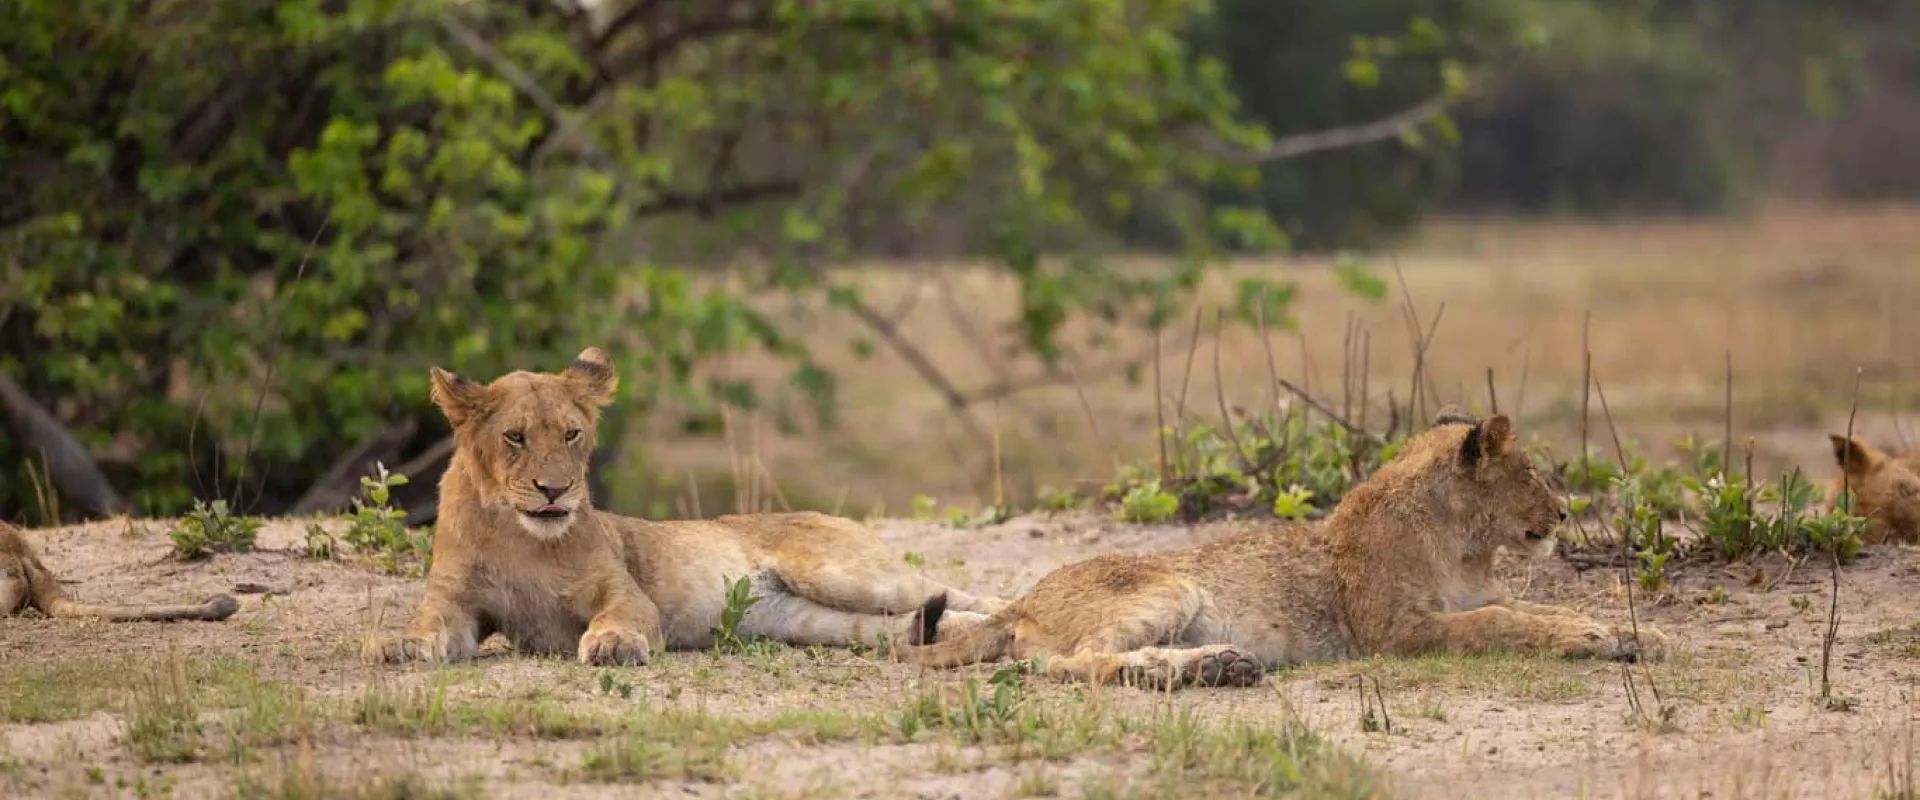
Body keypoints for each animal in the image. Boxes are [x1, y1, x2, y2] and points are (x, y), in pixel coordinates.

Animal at [363, 347, 1004, 666]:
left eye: (571, 434)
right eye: (515, 437)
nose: (555, 491)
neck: (519, 536)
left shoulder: (621, 590)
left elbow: (622, 615)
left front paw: (614, 645)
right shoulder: (458, 602)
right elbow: (429, 622)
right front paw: (399, 645)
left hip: (845, 572)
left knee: (967, 595)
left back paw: (1004, 624)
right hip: (806, 620)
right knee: (905, 621)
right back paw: (955, 637)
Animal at [898, 407, 1667, 690]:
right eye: (1532, 474)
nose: (1564, 513)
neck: (1464, 542)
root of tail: (1023, 597)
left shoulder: (1461, 600)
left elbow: (1528, 611)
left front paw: (1636, 633)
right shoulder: (1395, 631)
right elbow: (1499, 623)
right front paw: (1594, 637)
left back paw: (1221, 665)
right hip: (1170, 584)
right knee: (1069, 664)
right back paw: (1198, 669)